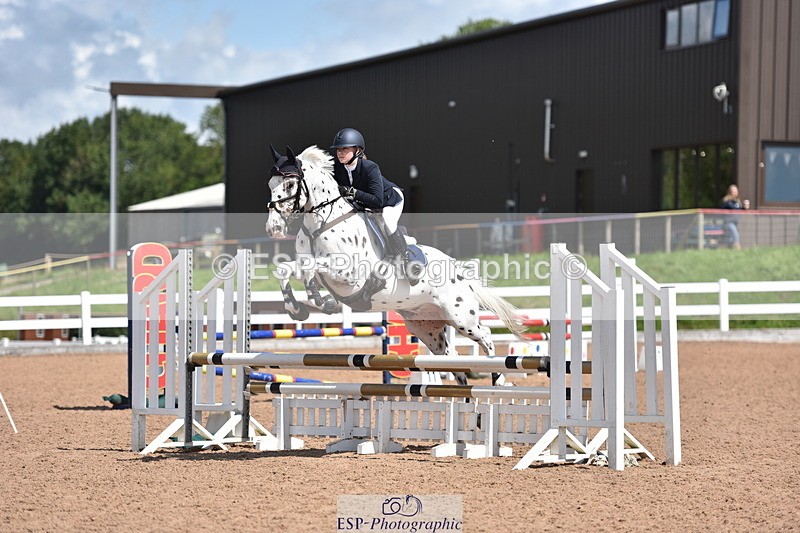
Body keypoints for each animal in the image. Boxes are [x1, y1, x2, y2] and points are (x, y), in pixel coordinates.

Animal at [265, 145, 528, 385]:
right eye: (270, 184)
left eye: (289, 185)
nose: (273, 228)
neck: (322, 223)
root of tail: (460, 272)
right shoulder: (313, 267)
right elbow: (287, 269)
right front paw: (297, 308)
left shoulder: (349, 274)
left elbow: (311, 267)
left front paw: (322, 301)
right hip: (425, 326)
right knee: (450, 355)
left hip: (462, 317)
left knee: (486, 335)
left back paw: (498, 380)